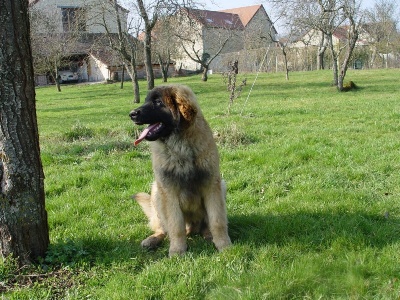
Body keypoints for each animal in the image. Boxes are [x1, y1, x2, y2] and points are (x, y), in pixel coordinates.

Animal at [130, 84, 233, 255]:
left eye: (158, 102)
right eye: (145, 101)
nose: (131, 114)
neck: (181, 147)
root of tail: (192, 228)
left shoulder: (212, 185)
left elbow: (217, 220)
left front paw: (224, 245)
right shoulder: (169, 191)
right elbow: (175, 225)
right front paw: (178, 250)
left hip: (222, 186)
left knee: (205, 225)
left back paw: (208, 234)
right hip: (157, 192)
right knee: (163, 229)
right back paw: (152, 240)